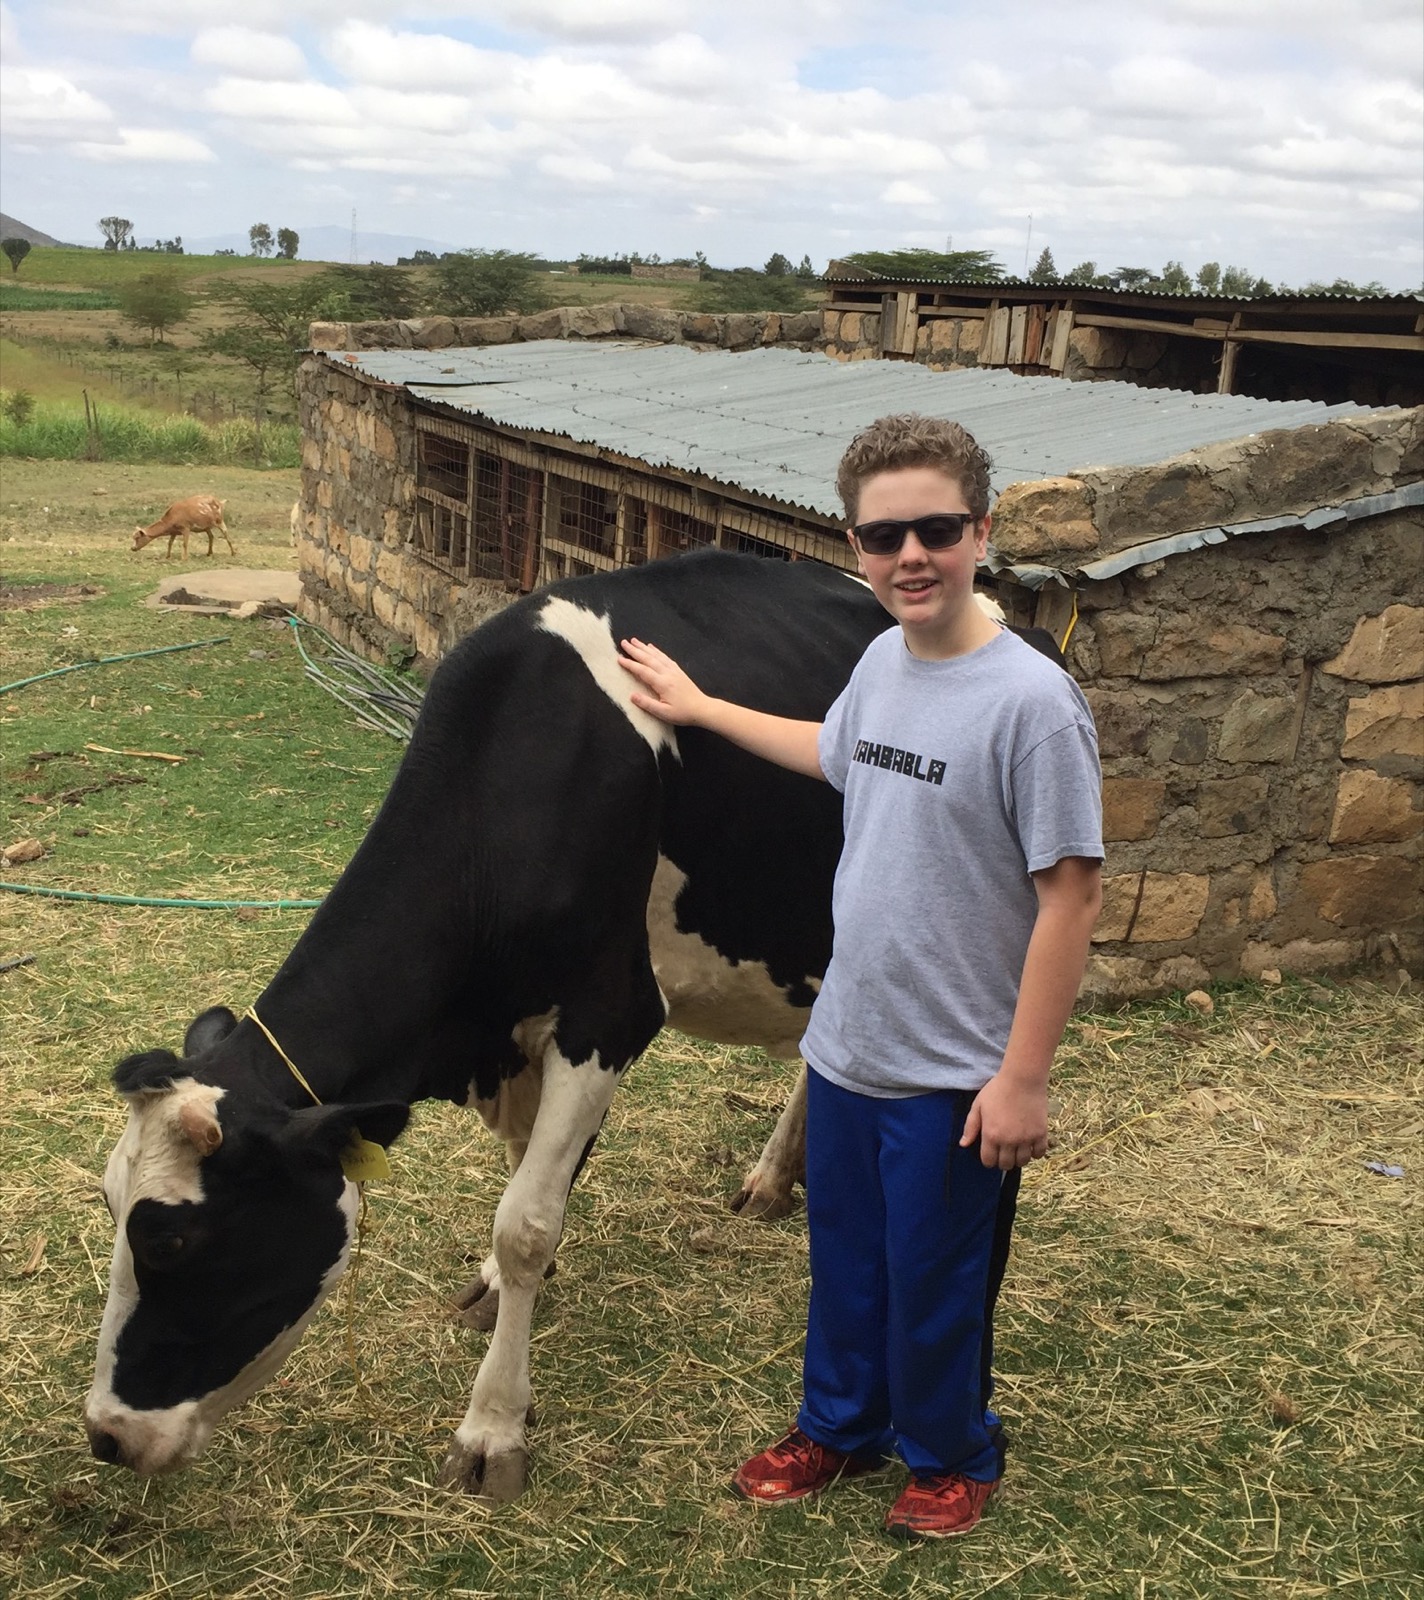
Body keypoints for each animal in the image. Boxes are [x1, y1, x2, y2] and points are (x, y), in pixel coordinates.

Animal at [85, 549, 1064, 1503]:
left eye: (172, 1239)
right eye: (109, 1205)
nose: (106, 1436)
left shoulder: (610, 1012)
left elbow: (524, 1224)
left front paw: (491, 1429)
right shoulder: (511, 1040)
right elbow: (523, 1185)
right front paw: (500, 1295)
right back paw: (773, 1179)